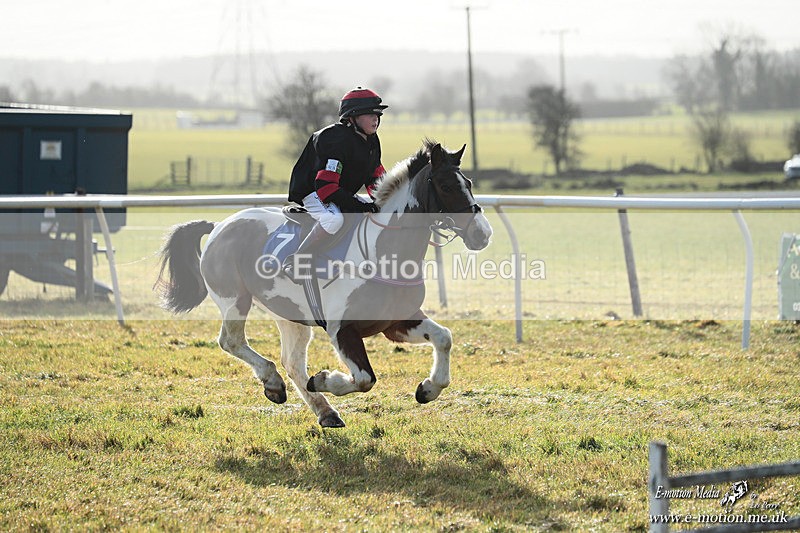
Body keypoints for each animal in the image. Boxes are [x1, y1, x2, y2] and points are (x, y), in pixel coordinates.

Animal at [155, 140, 493, 427]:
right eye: (447, 186)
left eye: (469, 184)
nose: (482, 233)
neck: (382, 252)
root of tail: (219, 225)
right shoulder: (342, 330)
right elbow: (364, 379)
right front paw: (325, 379)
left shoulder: (397, 322)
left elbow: (444, 337)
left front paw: (428, 388)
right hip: (234, 299)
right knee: (232, 341)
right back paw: (273, 382)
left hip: (289, 314)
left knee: (292, 362)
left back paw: (325, 411)